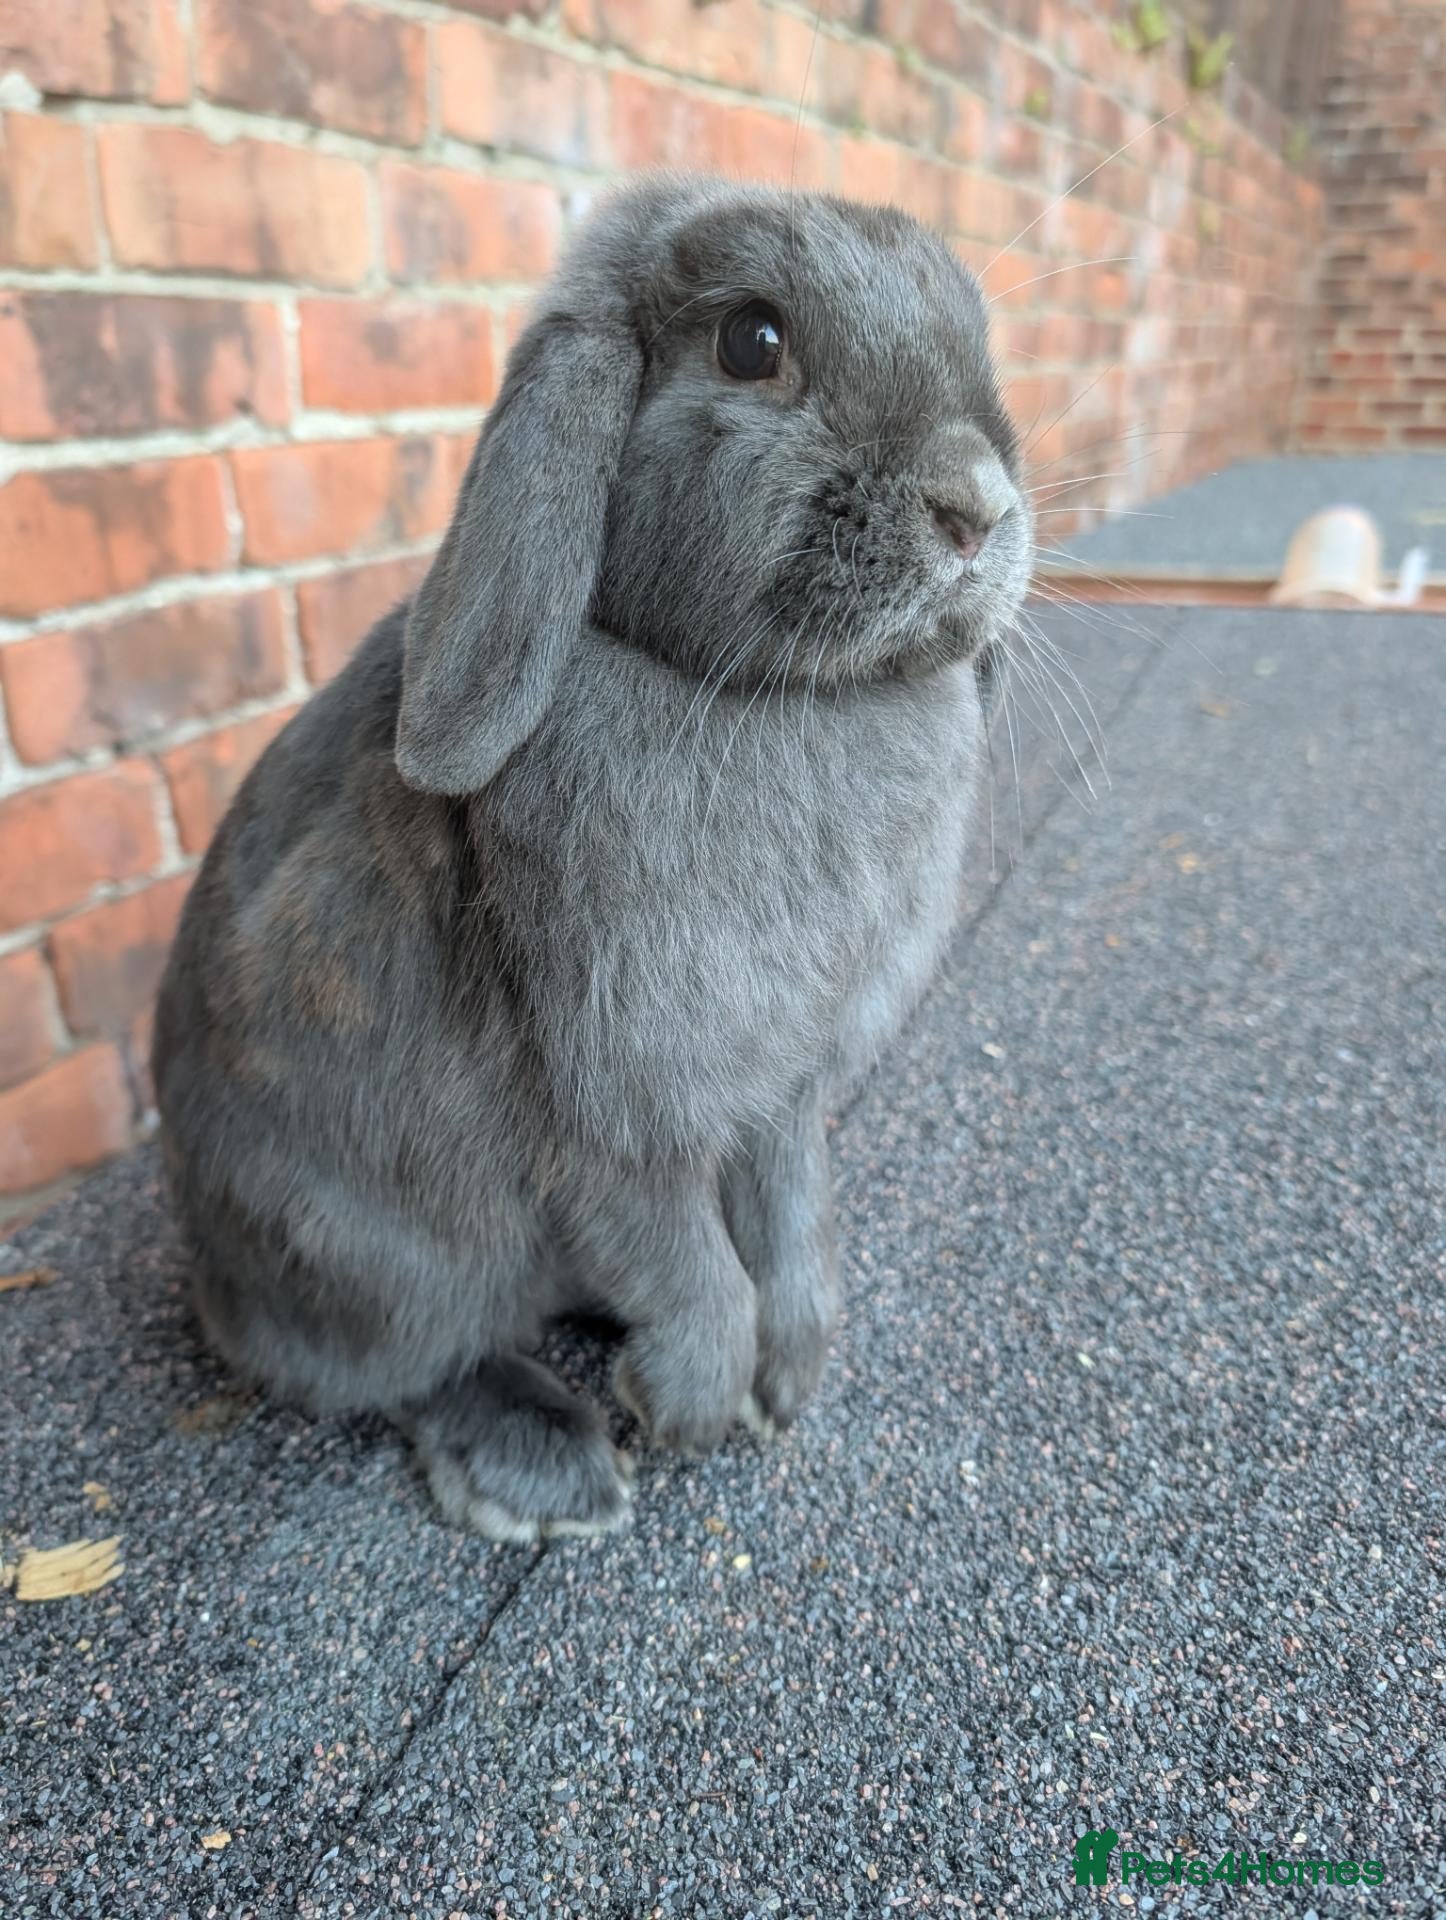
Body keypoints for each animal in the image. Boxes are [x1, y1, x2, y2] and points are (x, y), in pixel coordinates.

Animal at [152, 172, 1034, 1542]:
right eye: (752, 342)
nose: (977, 508)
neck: (784, 699)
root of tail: (214, 1279)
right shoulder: (617, 1104)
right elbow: (683, 1257)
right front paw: (694, 1406)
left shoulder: (783, 1094)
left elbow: (793, 1215)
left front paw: (792, 1375)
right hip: (378, 1263)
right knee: (407, 1368)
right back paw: (547, 1469)